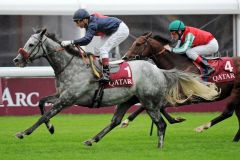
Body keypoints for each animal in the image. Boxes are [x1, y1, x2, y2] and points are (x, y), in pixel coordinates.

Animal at [12, 28, 219, 149]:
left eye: (31, 44)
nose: (17, 59)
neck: (71, 66)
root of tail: (159, 70)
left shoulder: (68, 99)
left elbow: (45, 115)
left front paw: (23, 132)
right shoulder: (62, 95)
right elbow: (41, 103)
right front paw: (51, 128)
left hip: (148, 102)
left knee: (160, 124)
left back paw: (159, 147)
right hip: (128, 101)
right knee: (115, 121)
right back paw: (92, 139)